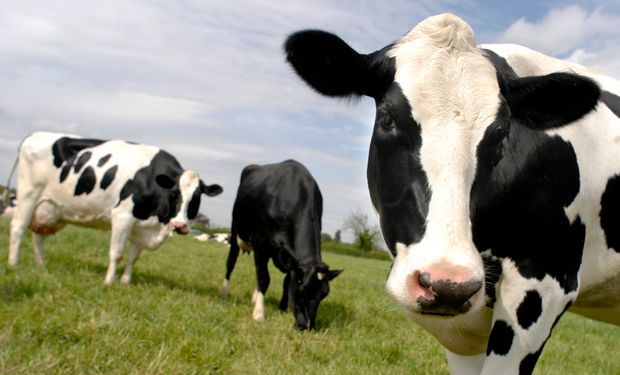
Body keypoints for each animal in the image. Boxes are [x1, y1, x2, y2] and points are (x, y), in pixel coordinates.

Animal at [7, 132, 223, 284]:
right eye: (174, 193)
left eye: (197, 197)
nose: (179, 225)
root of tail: (35, 134)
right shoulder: (123, 216)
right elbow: (117, 252)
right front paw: (109, 281)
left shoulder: (142, 225)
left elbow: (133, 257)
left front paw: (126, 282)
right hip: (28, 194)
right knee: (18, 227)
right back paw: (13, 264)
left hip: (50, 209)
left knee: (38, 236)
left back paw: (41, 265)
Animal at [220, 160, 342, 330]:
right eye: (302, 290)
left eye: (324, 294)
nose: (307, 326)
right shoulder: (261, 244)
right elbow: (264, 279)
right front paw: (259, 314)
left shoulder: (291, 258)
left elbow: (286, 282)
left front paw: (282, 307)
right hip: (236, 228)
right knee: (231, 262)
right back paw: (225, 291)